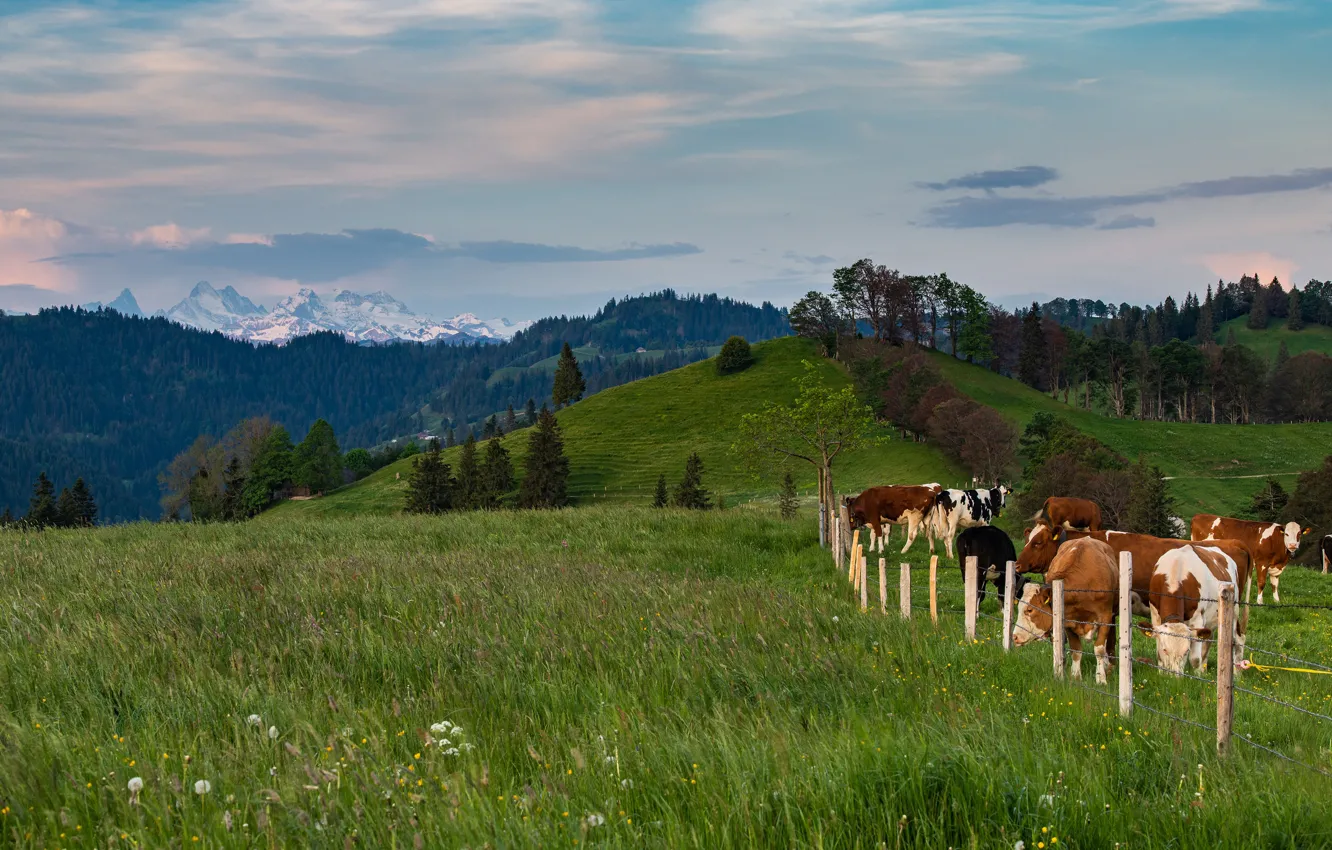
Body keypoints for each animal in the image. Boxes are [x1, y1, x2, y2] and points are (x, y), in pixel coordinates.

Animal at [1012, 538, 1118, 687]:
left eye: (1029, 610)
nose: (1014, 637)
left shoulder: (1105, 617)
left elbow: (1099, 649)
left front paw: (1101, 679)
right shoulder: (1069, 621)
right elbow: (1076, 650)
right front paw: (1076, 676)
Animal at [1145, 546, 1246, 679]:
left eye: (1186, 651)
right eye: (1165, 649)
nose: (1175, 677)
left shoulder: (1197, 619)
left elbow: (1195, 659)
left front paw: (1197, 677)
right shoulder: (1155, 615)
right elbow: (1159, 654)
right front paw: (1162, 674)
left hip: (1233, 610)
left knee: (1237, 640)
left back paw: (1237, 674)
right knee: (1208, 639)